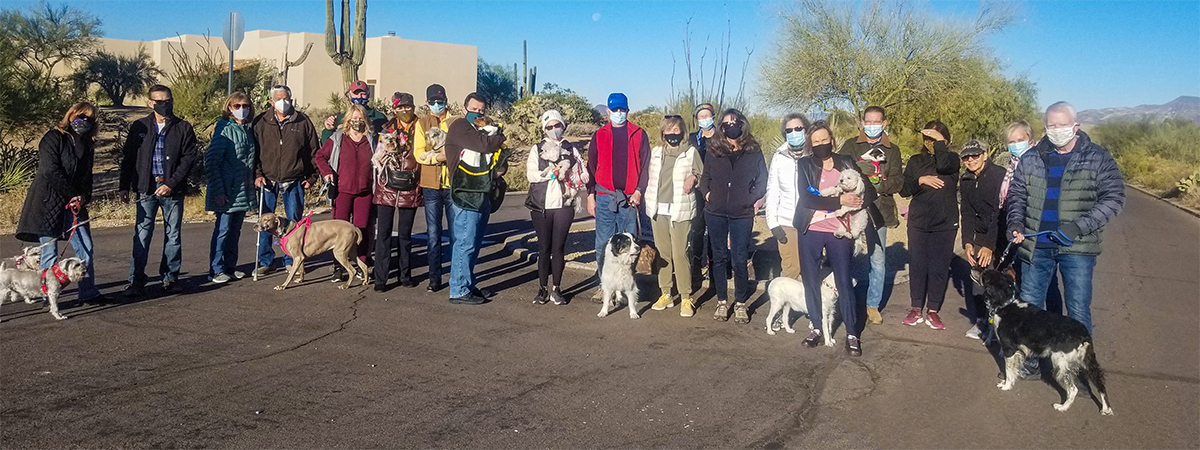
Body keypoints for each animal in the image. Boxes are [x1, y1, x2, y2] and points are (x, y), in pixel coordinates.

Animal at [974, 267, 1113, 415]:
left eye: (985, 274)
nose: (974, 267)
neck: (1006, 305)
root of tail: (1083, 334)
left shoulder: (1009, 349)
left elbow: (1009, 370)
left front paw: (1006, 386)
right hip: (1086, 361)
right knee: (1100, 383)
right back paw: (1106, 409)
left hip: (1059, 363)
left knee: (1073, 389)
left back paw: (1062, 407)